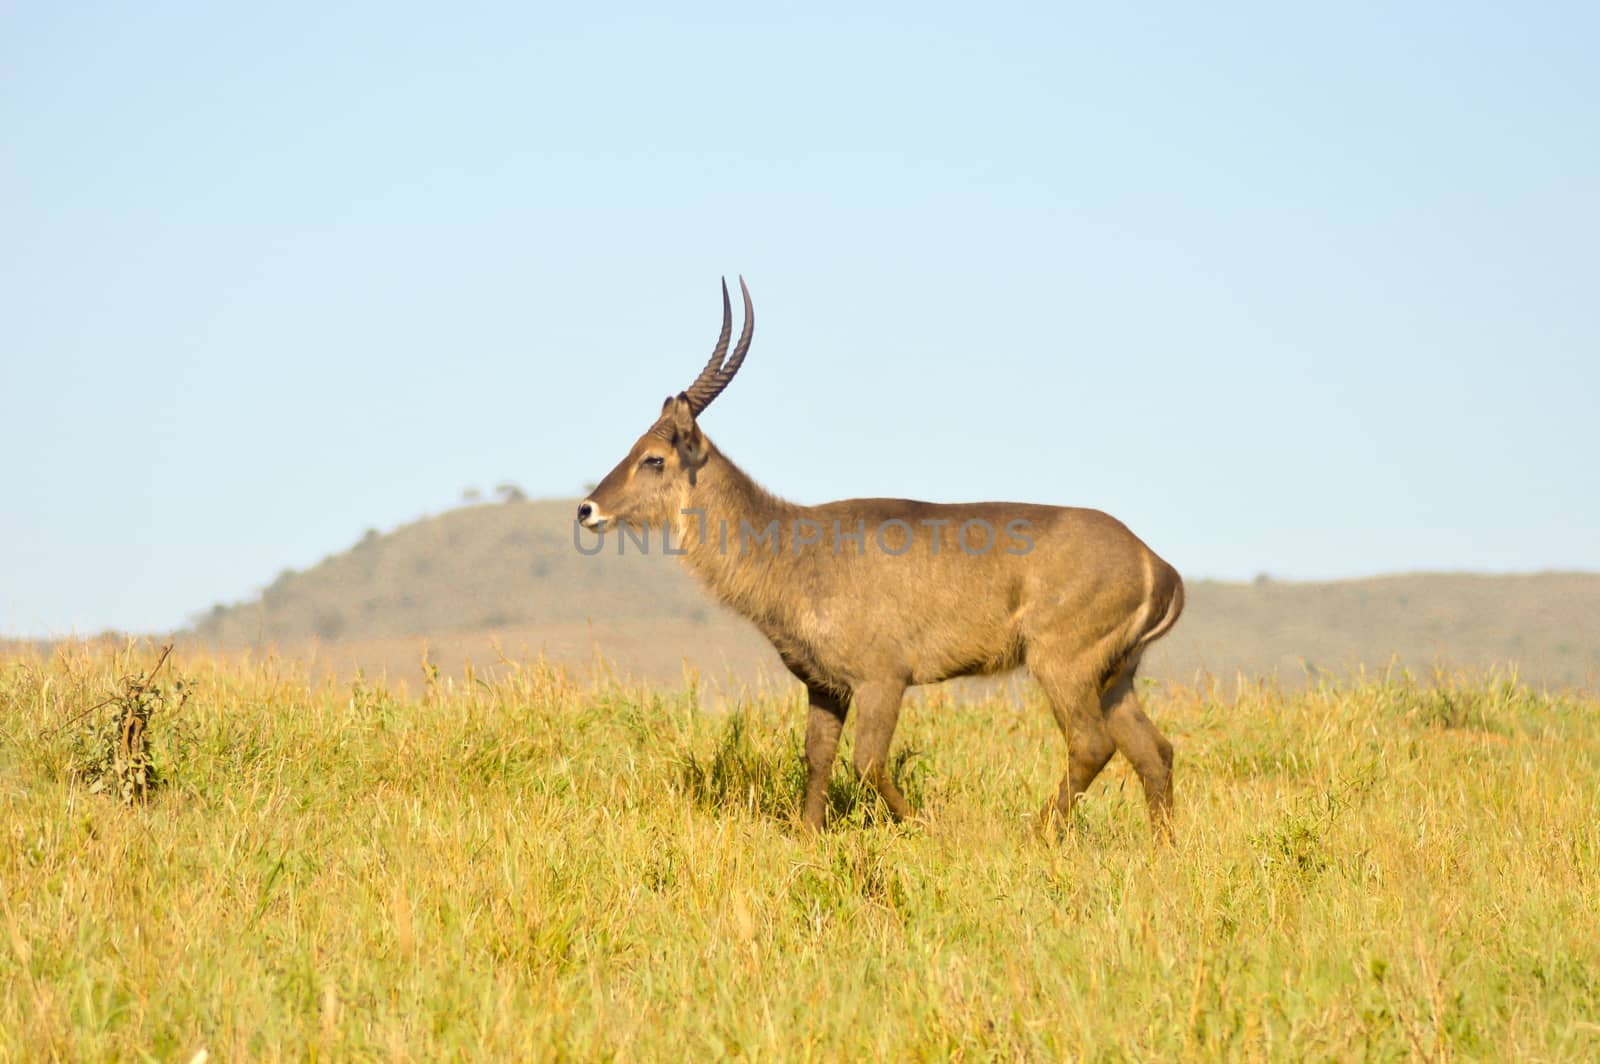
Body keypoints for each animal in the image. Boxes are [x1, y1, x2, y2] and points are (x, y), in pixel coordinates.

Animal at [582, 275, 1184, 838]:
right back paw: (1163, 850)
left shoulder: (882, 680)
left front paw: (924, 830)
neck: (790, 548)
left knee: (1091, 744)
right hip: (1114, 677)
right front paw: (810, 838)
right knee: (1155, 751)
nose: (587, 509)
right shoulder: (824, 686)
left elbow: (867, 763)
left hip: (1063, 664)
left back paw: (1037, 834)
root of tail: (1158, 564)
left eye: (654, 458)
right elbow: (818, 758)